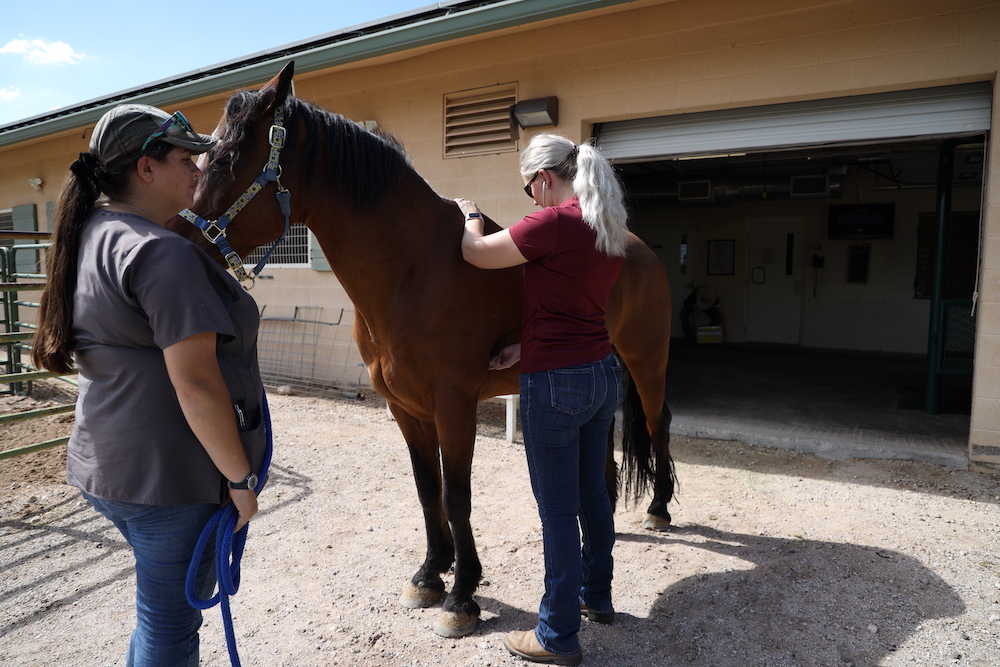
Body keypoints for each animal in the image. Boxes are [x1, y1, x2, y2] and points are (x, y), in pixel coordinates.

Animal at [167, 61, 675, 638]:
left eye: (226, 159)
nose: (177, 241)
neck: (412, 268)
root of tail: (633, 245)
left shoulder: (454, 405)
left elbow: (457, 494)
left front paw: (463, 596)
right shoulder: (406, 408)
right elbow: (427, 488)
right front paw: (431, 573)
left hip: (646, 360)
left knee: (658, 423)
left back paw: (659, 509)